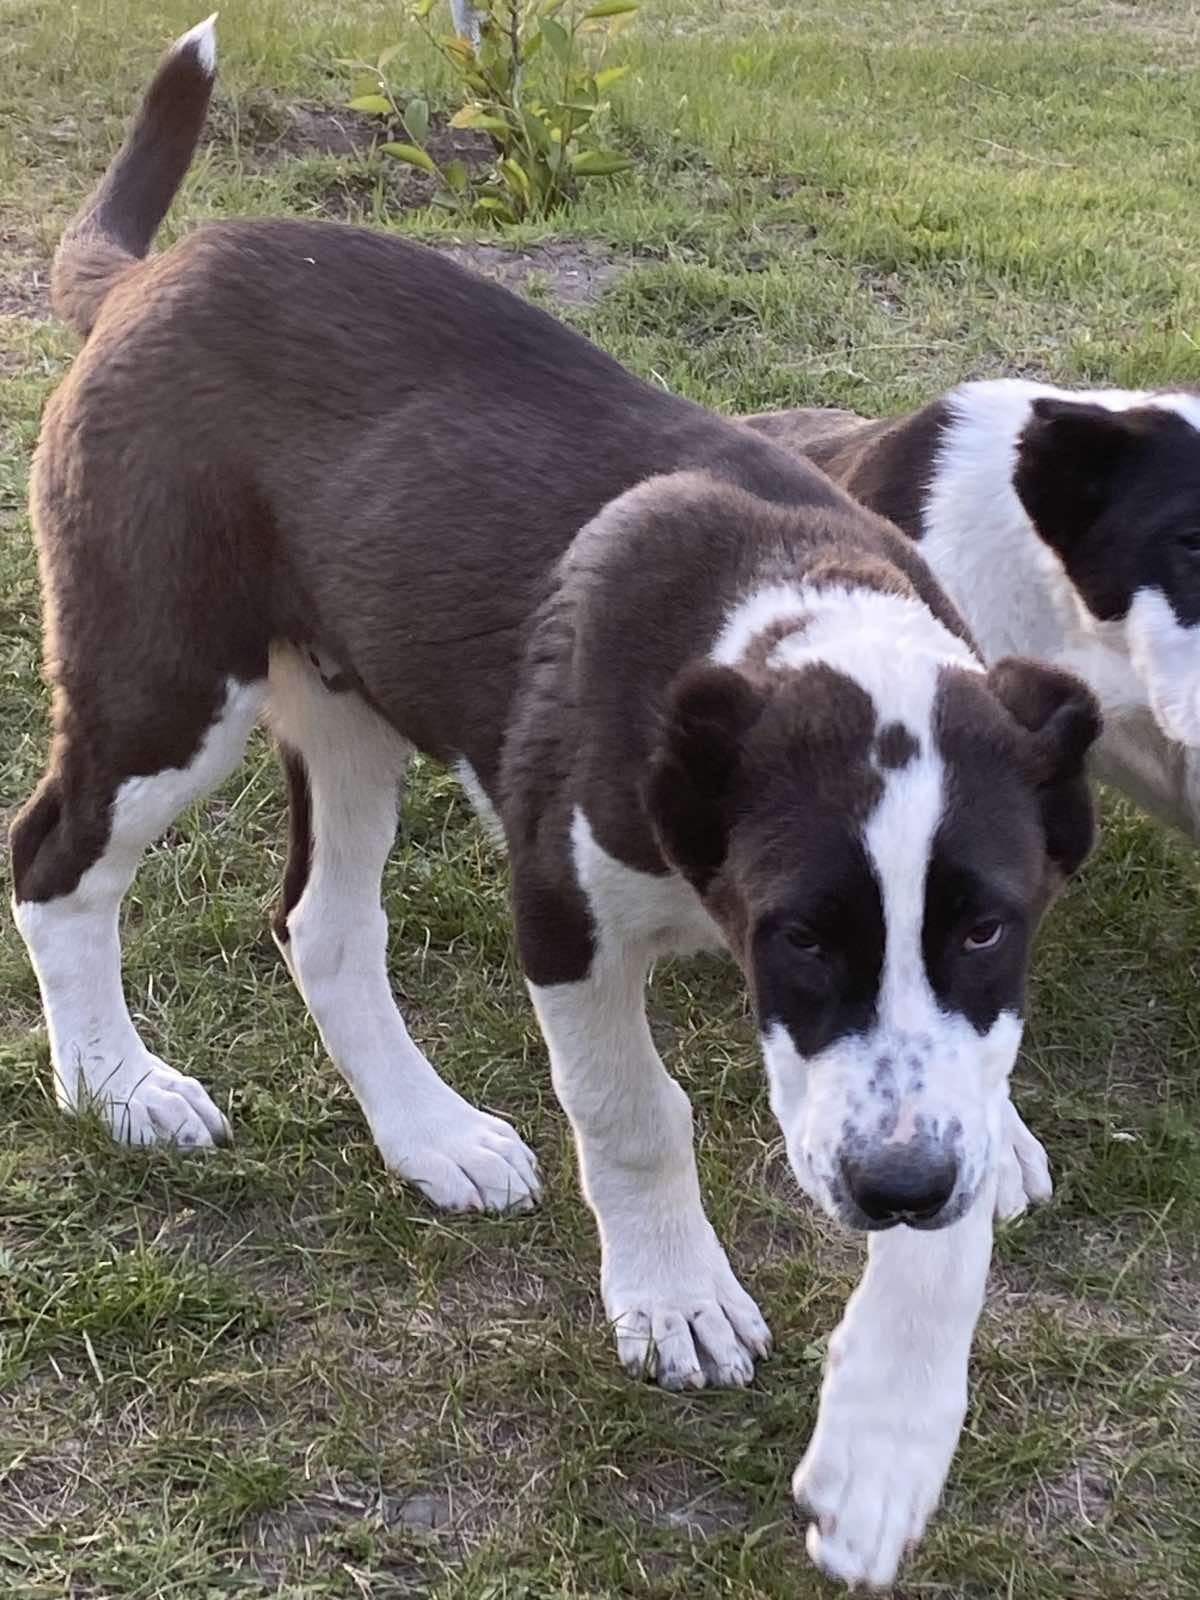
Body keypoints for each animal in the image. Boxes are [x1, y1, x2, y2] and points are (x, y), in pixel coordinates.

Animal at [9, 21, 1107, 1587]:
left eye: (985, 930)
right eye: (800, 939)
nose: (893, 1188)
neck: (793, 612)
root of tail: (153, 279)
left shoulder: (938, 1057)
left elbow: (956, 1166)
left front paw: (885, 1452)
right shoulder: (562, 908)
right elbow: (634, 1110)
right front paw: (678, 1297)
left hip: (347, 703)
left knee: (319, 926)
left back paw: (429, 1135)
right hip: (166, 682)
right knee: (56, 864)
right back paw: (117, 1086)